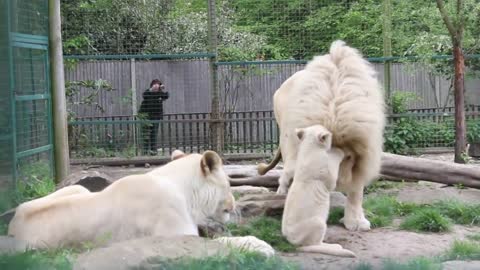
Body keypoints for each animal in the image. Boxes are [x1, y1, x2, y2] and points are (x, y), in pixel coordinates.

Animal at [258, 41, 386, 231]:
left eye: (347, 157)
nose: (338, 181)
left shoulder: (364, 153)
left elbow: (356, 191)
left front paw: (355, 222)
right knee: (286, 171)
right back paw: (281, 192)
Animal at [280, 125, 354, 258]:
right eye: (329, 134)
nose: (332, 134)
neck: (310, 147)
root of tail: (291, 242)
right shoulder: (326, 172)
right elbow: (332, 171)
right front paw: (339, 151)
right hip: (317, 223)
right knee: (314, 244)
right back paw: (335, 246)